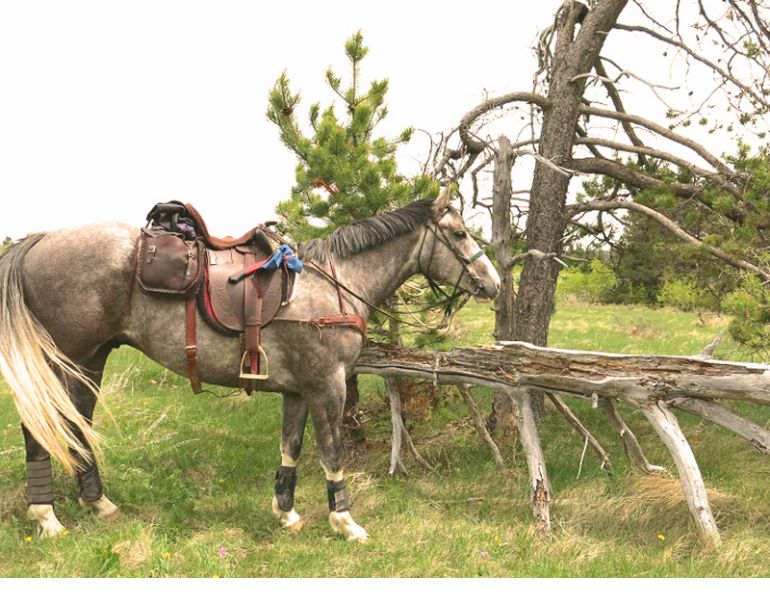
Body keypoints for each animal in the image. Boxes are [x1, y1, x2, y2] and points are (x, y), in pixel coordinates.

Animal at [0, 191, 500, 542]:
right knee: (40, 428)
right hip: (63, 361)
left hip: (90, 361)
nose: (493, 283)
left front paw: (286, 512)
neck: (334, 282)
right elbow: (332, 453)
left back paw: (97, 503)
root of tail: (38, 240)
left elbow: (290, 448)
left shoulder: (298, 390)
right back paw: (46, 517)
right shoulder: (328, 386)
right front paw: (344, 522)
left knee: (74, 425)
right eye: (459, 234)